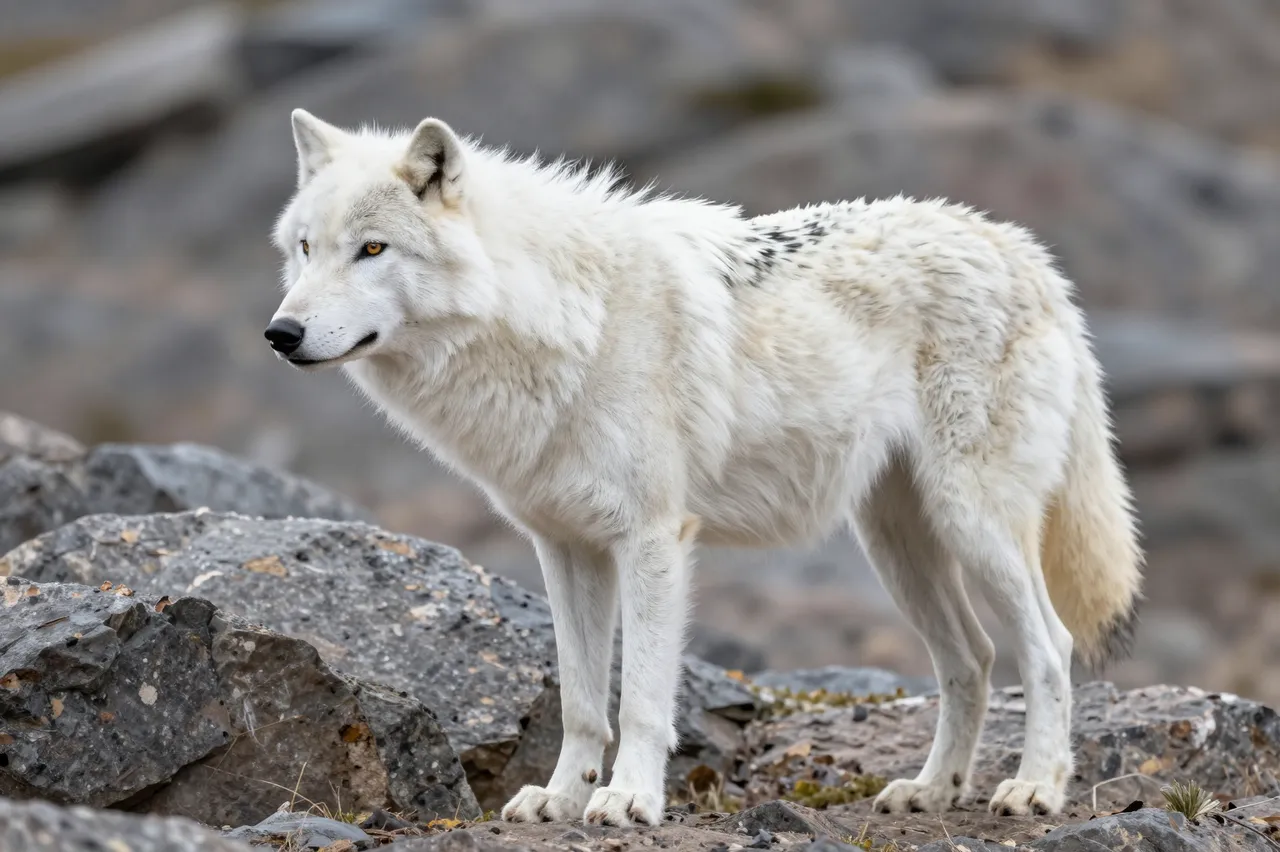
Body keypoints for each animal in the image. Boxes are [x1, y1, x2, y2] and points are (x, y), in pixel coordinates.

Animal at [267, 109, 1143, 826]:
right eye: (306, 249)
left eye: (372, 250)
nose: (281, 333)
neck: (562, 320)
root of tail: (1020, 248)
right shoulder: (566, 548)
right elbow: (582, 701)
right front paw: (560, 799)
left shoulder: (654, 539)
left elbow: (643, 700)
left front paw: (628, 801)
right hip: (899, 547)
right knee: (974, 660)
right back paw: (932, 790)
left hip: (974, 525)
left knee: (1049, 646)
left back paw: (1035, 787)